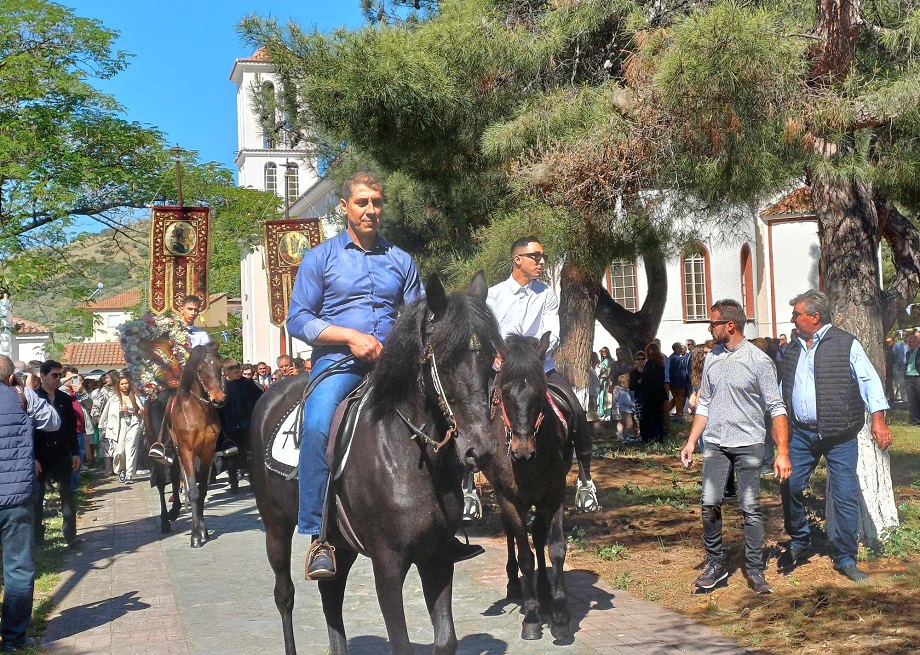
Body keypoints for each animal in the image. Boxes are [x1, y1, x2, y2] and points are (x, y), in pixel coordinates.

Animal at [149, 346, 226, 544]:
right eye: (200, 371)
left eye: (220, 367)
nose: (219, 399)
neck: (197, 412)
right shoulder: (187, 451)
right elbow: (193, 491)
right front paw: (196, 535)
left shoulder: (207, 452)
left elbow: (202, 490)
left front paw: (202, 530)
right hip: (161, 456)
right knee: (161, 483)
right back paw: (165, 521)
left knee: (175, 475)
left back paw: (175, 509)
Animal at [252, 274, 504, 655]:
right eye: (444, 361)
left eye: (491, 359)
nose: (481, 450)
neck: (410, 455)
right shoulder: (388, 564)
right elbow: (400, 642)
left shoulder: (437, 558)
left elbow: (445, 640)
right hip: (276, 526)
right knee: (285, 595)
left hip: (338, 541)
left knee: (331, 592)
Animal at [482, 336, 576, 644]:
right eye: (505, 394)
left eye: (539, 394)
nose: (523, 451)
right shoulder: (510, 499)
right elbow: (524, 554)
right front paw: (532, 619)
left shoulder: (554, 494)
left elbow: (555, 548)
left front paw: (560, 617)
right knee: (514, 535)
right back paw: (515, 585)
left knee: (538, 535)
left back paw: (544, 591)